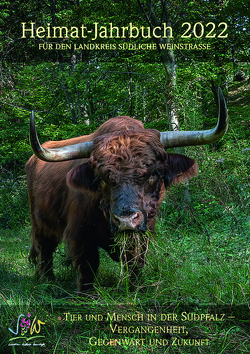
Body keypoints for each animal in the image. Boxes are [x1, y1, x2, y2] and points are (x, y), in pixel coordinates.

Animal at [25, 88, 229, 290]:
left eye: (154, 173)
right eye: (101, 177)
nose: (126, 220)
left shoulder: (144, 231)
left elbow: (135, 261)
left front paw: (135, 288)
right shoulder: (81, 233)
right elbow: (88, 265)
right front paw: (86, 293)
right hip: (40, 222)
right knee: (45, 250)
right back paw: (48, 281)